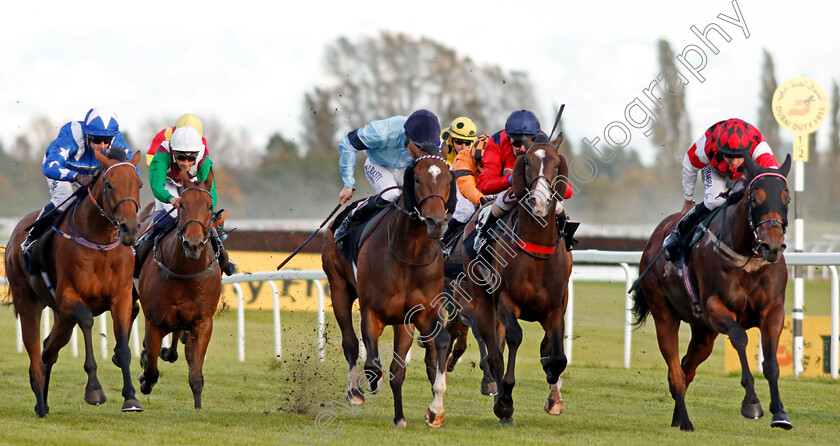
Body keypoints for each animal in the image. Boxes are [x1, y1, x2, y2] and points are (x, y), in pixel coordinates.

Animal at [4, 150, 143, 418]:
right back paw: (40, 401)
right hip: (28, 301)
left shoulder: (121, 298)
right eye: (109, 185)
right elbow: (88, 320)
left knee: (48, 350)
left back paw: (43, 400)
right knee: (35, 351)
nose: (129, 229)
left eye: (139, 184)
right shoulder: (70, 297)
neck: (100, 243)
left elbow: (123, 347)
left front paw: (131, 398)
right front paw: (94, 390)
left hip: (62, 318)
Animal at [135, 167, 220, 408]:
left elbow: (196, 375)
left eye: (209, 206)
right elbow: (152, 372)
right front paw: (145, 377)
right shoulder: (154, 321)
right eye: (181, 204)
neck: (185, 272)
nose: (193, 244)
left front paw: (198, 407)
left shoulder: (203, 322)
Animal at [322, 154, 452, 428]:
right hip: (338, 288)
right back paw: (355, 391)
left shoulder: (415, 316)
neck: (409, 256)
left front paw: (418, 413)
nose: (436, 222)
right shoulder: (372, 312)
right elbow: (372, 363)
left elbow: (402, 367)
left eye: (448, 179)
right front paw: (373, 382)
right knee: (350, 342)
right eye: (417, 179)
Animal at [462, 138, 576, 424]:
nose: (540, 201)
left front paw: (553, 391)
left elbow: (557, 355)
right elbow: (513, 339)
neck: (537, 252)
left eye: (556, 163)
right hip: (482, 300)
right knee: (493, 348)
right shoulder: (507, 301)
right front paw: (505, 401)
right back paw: (500, 399)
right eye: (527, 163)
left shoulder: (555, 307)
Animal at [632, 154, 796, 432]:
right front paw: (751, 403)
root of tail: (655, 238)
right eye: (755, 198)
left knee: (686, 369)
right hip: (665, 315)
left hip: (703, 333)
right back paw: (686, 422)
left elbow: (772, 363)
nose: (772, 246)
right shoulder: (715, 308)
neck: (746, 259)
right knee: (676, 371)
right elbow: (740, 337)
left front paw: (780, 413)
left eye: (786, 198)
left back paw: (678, 418)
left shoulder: (773, 311)